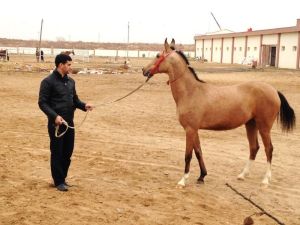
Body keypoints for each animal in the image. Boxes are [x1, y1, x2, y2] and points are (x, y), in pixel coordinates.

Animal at [141, 38, 296, 186]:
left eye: (157, 55)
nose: (144, 70)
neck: (191, 92)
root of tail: (273, 90)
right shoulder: (194, 130)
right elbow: (198, 152)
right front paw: (202, 176)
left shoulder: (190, 129)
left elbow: (188, 155)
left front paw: (183, 180)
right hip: (251, 124)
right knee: (254, 148)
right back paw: (242, 175)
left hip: (264, 127)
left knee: (268, 149)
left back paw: (265, 179)